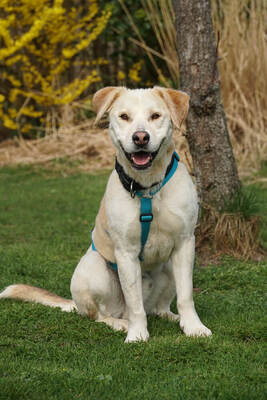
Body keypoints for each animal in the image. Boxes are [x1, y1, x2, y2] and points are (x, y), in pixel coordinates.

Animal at [0, 87, 214, 344]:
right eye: (124, 116)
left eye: (155, 116)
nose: (140, 138)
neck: (147, 188)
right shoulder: (126, 252)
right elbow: (134, 304)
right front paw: (137, 334)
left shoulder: (185, 244)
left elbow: (186, 295)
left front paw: (193, 327)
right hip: (95, 270)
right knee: (102, 315)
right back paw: (120, 322)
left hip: (169, 267)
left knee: (159, 307)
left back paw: (172, 317)